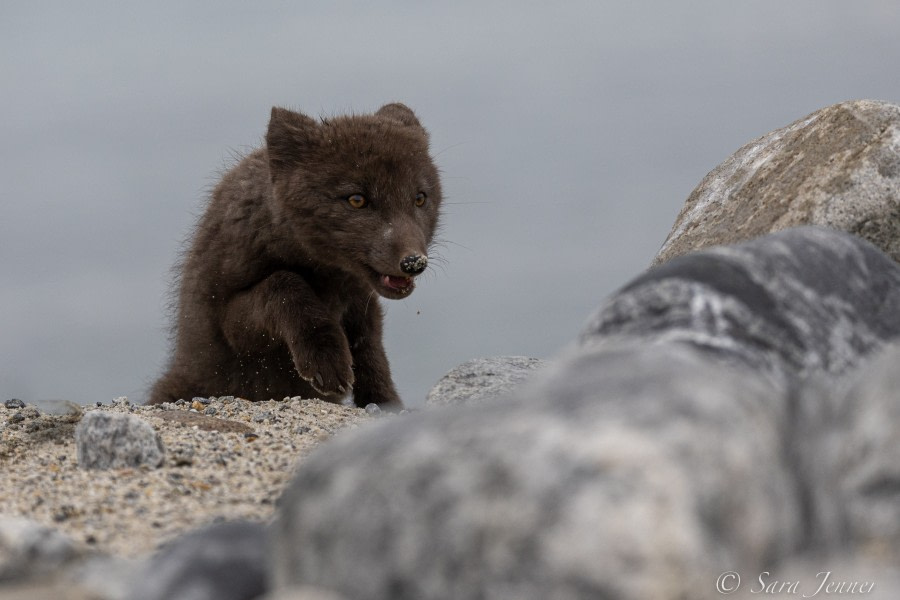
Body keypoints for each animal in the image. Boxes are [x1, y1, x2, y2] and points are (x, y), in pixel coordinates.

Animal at [149, 104, 442, 412]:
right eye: (357, 200)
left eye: (420, 198)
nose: (413, 262)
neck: (330, 278)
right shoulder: (229, 323)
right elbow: (284, 283)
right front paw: (326, 361)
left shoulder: (360, 299)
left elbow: (371, 348)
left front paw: (386, 403)